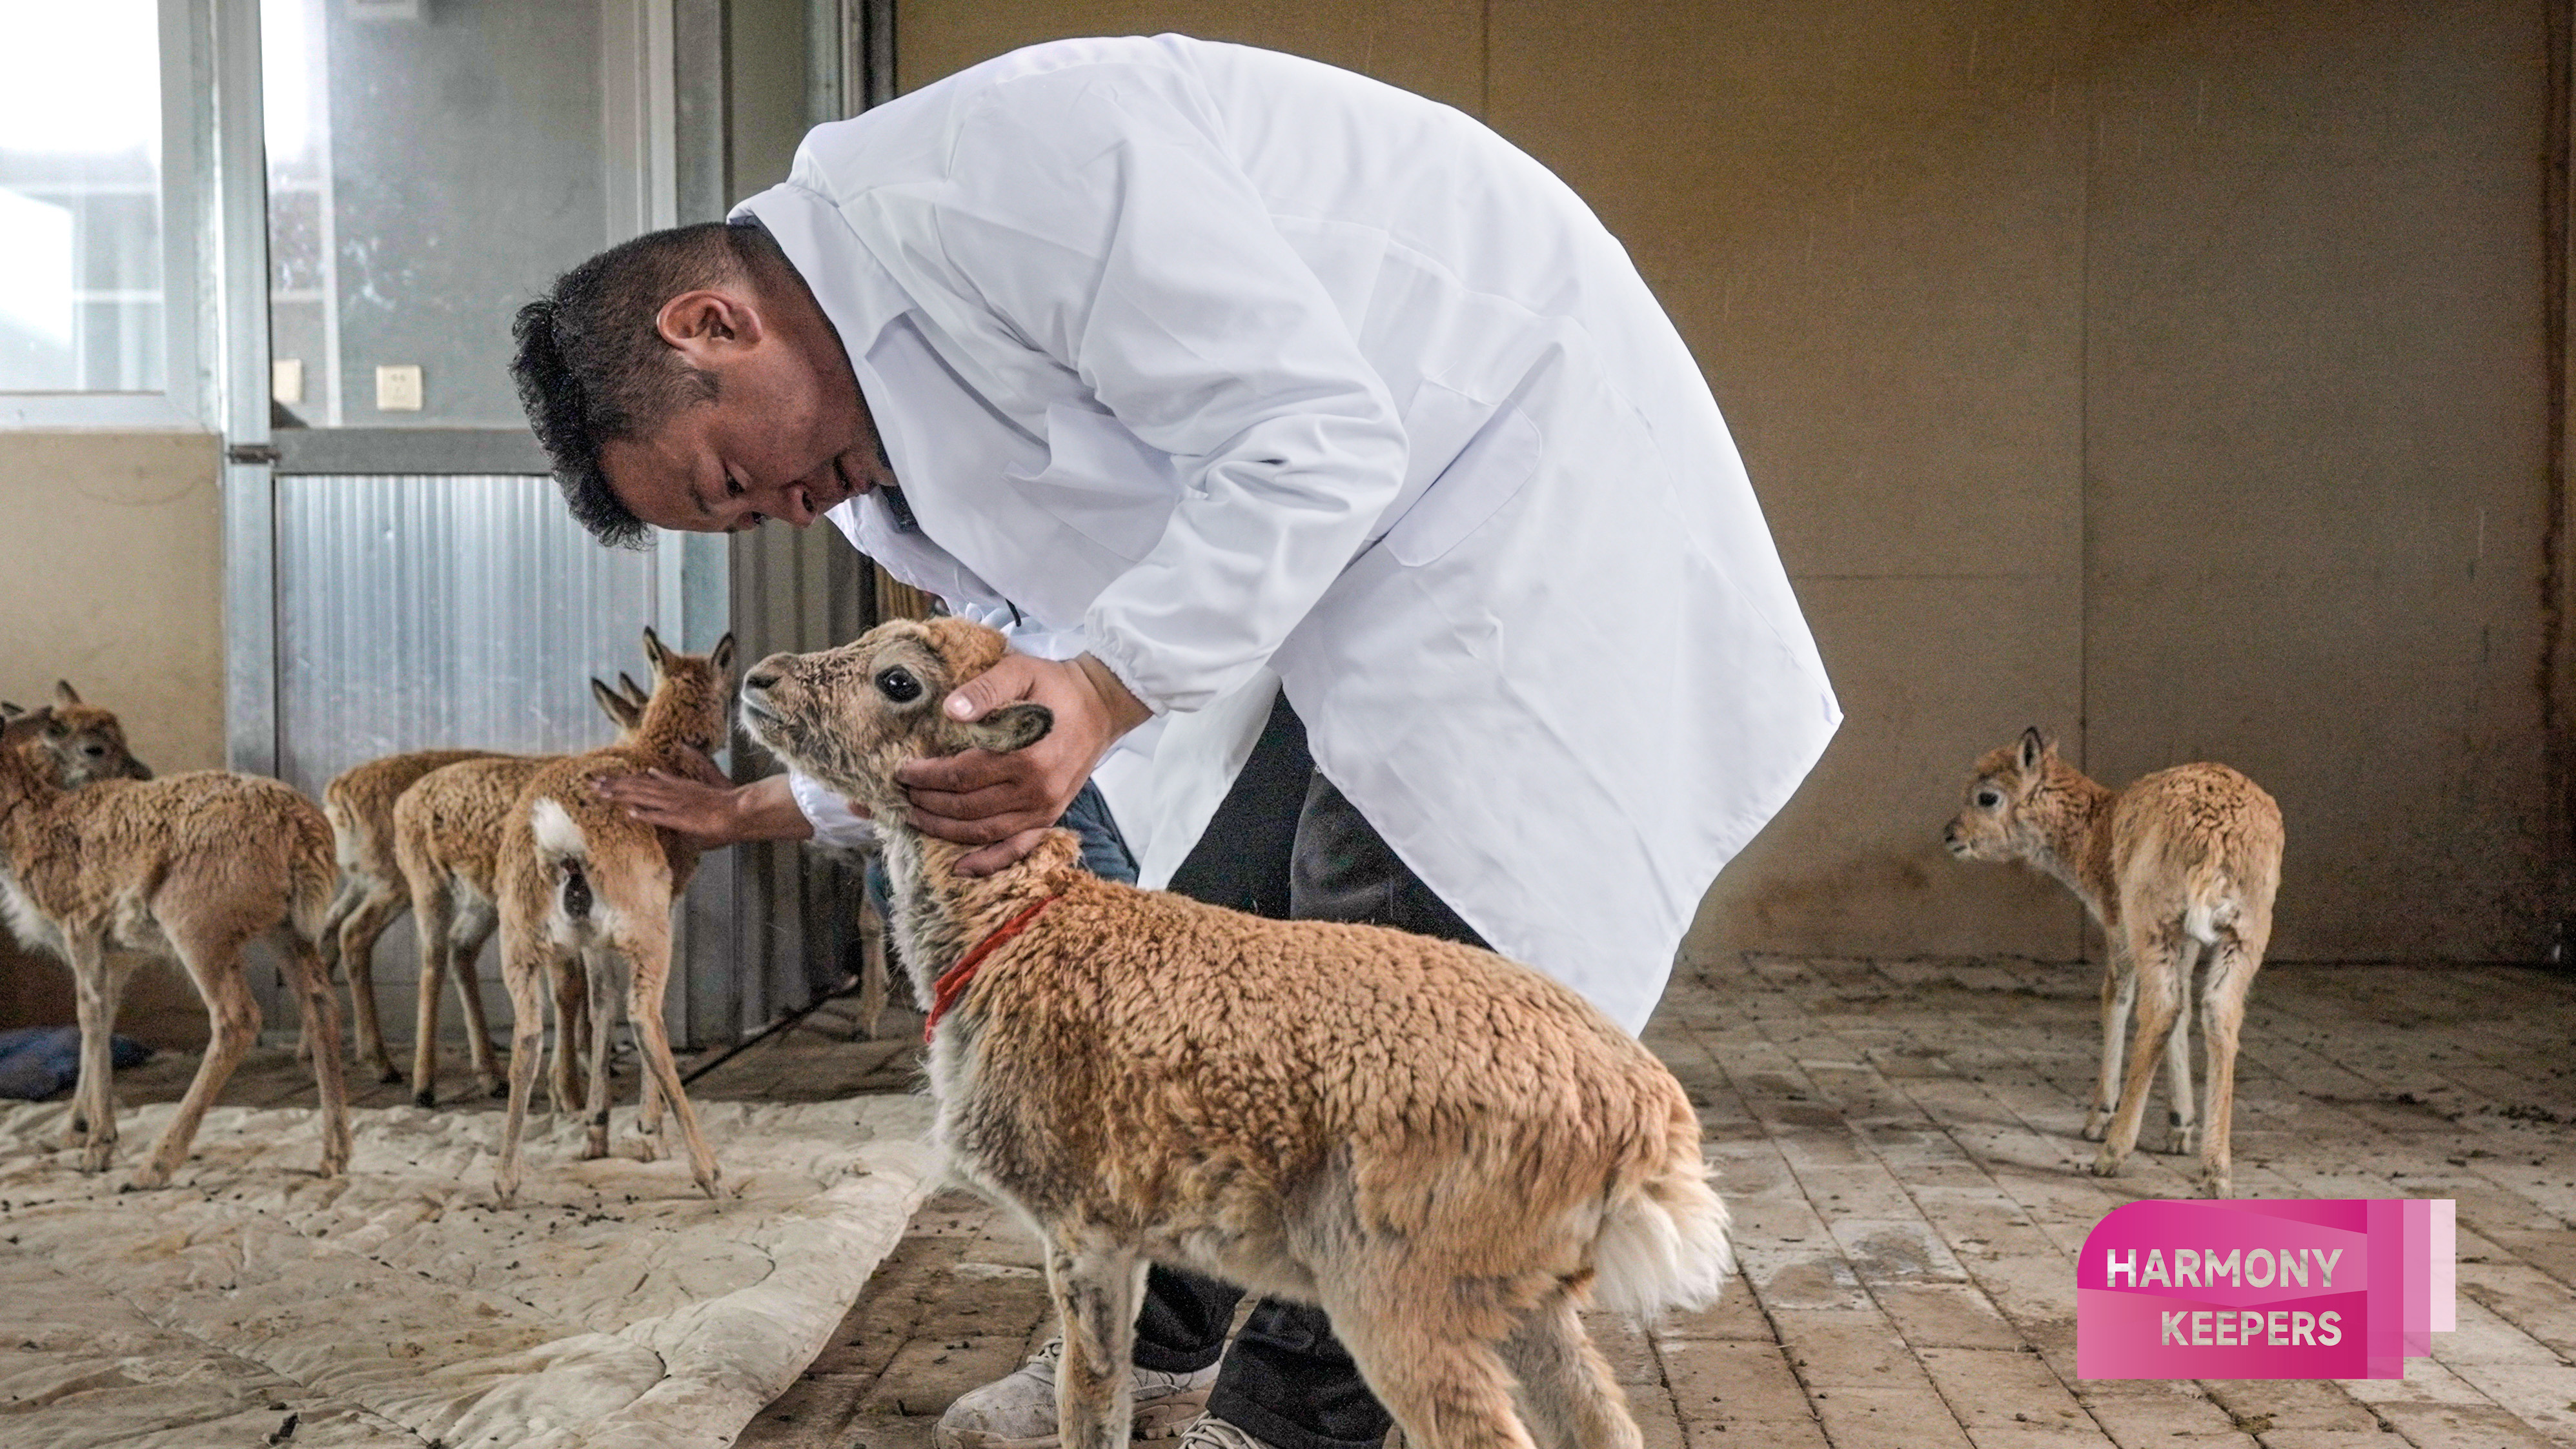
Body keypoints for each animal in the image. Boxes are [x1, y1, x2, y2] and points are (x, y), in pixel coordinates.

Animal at [0, 710, 352, 1184]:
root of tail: (304, 833)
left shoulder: (82, 926)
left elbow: (88, 1014)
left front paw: (96, 1145)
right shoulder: (119, 951)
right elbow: (103, 1017)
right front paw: (76, 1131)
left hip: (197, 923)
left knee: (237, 1018)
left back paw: (156, 1164)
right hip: (288, 928)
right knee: (320, 1004)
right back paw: (334, 1156)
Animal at [391, 674, 659, 1106]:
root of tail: (402, 804)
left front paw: (591, 1063)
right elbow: (573, 985)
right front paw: (575, 1081)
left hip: (484, 901)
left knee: (460, 949)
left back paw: (491, 1076)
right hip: (428, 882)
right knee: (432, 961)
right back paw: (423, 1086)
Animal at [492, 630, 736, 1210]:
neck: (659, 748)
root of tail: (560, 840)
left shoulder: (591, 941)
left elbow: (600, 1003)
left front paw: (596, 1131)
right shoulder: (667, 902)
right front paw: (647, 1135)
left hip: (519, 943)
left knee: (528, 1035)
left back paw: (507, 1180)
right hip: (646, 930)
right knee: (646, 1017)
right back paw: (709, 1171)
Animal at [742, 620, 1730, 1449]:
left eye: (897, 680)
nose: (758, 678)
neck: (1026, 929)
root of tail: (1643, 1115)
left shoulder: (1083, 1223)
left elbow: (1088, 1398)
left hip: (1402, 1285)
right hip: (1526, 1293)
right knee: (1602, 1423)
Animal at [1937, 731, 2287, 1194]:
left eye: (1987, 796)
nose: (1949, 834)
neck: (2093, 835)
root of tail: (2217, 845)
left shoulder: (2117, 920)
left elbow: (2115, 997)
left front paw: (2098, 1119)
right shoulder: (2190, 938)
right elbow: (2184, 1009)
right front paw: (2179, 1125)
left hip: (2151, 915)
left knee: (2158, 1009)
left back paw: (2111, 1153)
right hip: (2246, 928)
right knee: (2217, 1012)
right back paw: (2217, 1170)